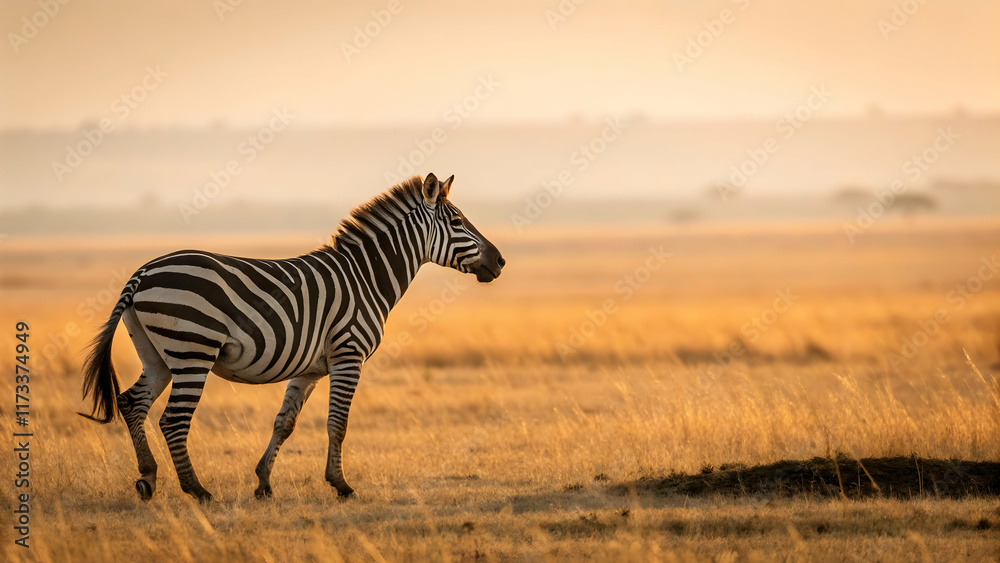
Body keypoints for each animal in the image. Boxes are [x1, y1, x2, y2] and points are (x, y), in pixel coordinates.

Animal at [79, 173, 504, 502]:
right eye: (457, 221)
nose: (500, 262)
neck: (366, 276)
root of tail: (144, 271)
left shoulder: (310, 368)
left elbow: (284, 423)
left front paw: (264, 484)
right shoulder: (347, 354)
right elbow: (338, 423)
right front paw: (341, 485)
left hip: (157, 354)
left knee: (132, 403)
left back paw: (148, 478)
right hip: (192, 351)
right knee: (173, 420)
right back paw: (196, 490)